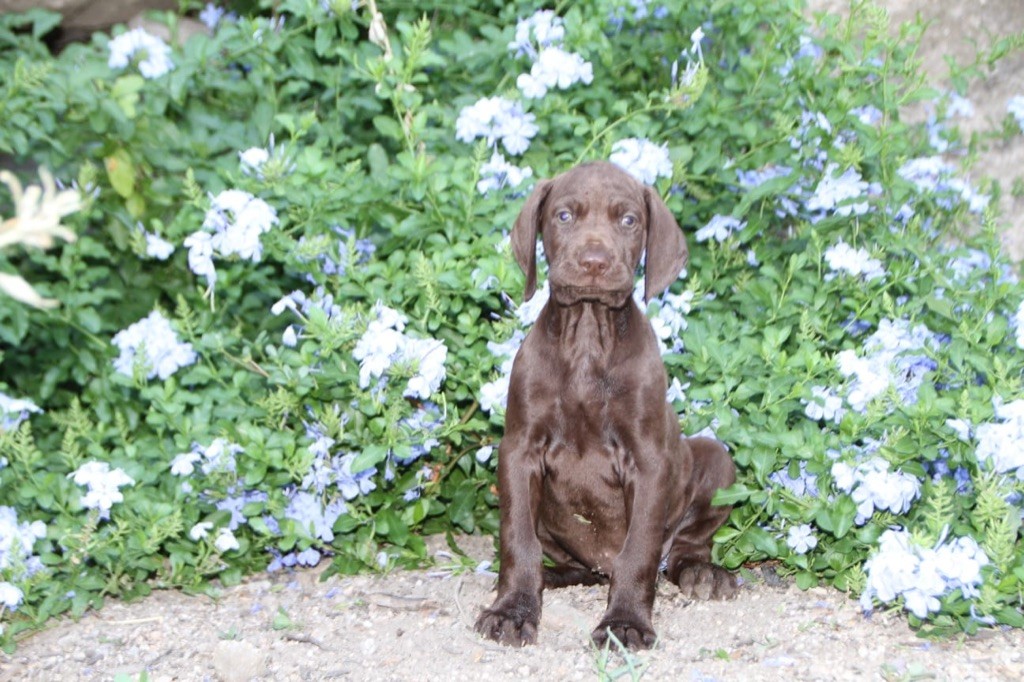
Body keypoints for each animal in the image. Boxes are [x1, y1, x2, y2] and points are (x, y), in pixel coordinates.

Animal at [473, 159, 737, 647]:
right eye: (564, 216)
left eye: (628, 220)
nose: (594, 262)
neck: (588, 337)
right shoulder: (519, 450)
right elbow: (517, 540)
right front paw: (512, 609)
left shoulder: (648, 460)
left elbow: (639, 551)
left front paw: (625, 621)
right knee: (563, 560)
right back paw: (551, 577)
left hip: (714, 458)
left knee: (683, 547)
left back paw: (703, 573)